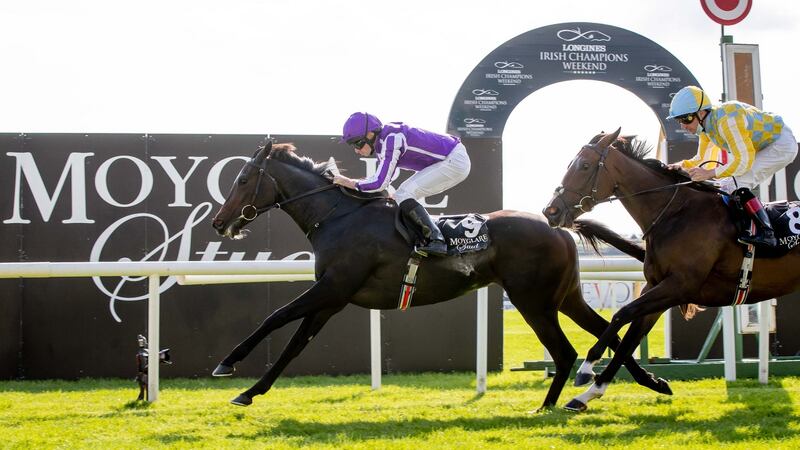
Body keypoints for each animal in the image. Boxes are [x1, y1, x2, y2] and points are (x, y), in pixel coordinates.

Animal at [208, 142, 668, 410]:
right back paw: (645, 383)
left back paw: (549, 406)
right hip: (566, 296)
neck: (338, 216)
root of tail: (558, 224)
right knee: (606, 328)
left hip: (533, 300)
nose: (219, 223)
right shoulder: (333, 298)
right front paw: (250, 392)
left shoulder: (333, 288)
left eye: (242, 178)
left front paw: (227, 364)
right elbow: (294, 344)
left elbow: (275, 318)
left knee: (566, 351)